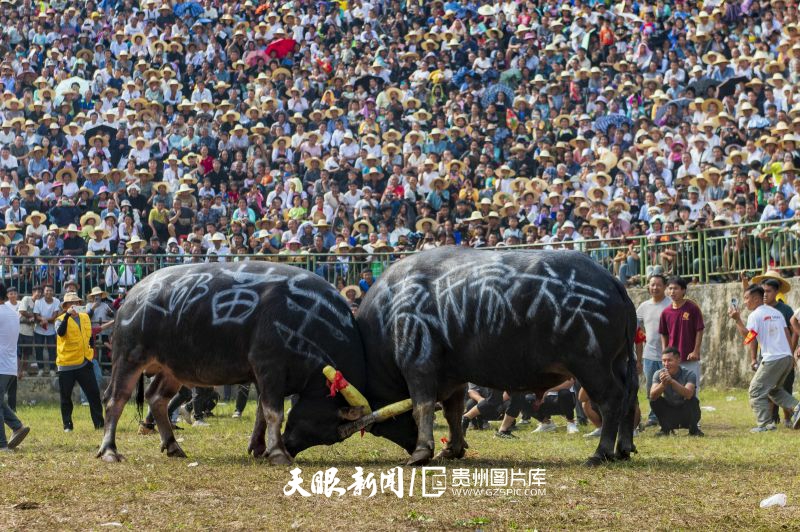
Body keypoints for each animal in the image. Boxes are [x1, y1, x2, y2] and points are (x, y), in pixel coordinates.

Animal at [97, 264, 368, 464]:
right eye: (328, 427)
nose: (291, 447)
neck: (308, 320)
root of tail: (132, 296)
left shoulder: (262, 376)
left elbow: (261, 412)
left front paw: (259, 447)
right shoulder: (269, 367)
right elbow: (274, 413)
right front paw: (278, 453)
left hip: (170, 368)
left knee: (156, 398)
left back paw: (173, 446)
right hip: (128, 358)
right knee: (115, 399)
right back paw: (109, 450)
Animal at [284, 247, 640, 464]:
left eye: (309, 403)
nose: (285, 441)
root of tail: (612, 281)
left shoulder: (419, 367)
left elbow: (423, 407)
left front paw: (421, 453)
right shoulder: (453, 376)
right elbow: (453, 413)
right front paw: (452, 449)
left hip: (591, 364)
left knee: (611, 400)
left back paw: (601, 452)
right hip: (621, 362)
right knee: (630, 397)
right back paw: (624, 448)